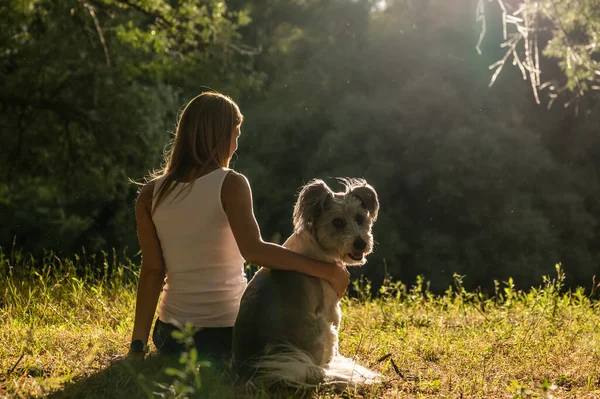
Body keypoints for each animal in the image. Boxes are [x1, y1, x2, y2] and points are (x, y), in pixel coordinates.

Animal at [233, 178, 380, 390]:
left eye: (360, 218)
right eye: (337, 222)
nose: (361, 243)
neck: (318, 248)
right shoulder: (332, 310)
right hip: (323, 330)